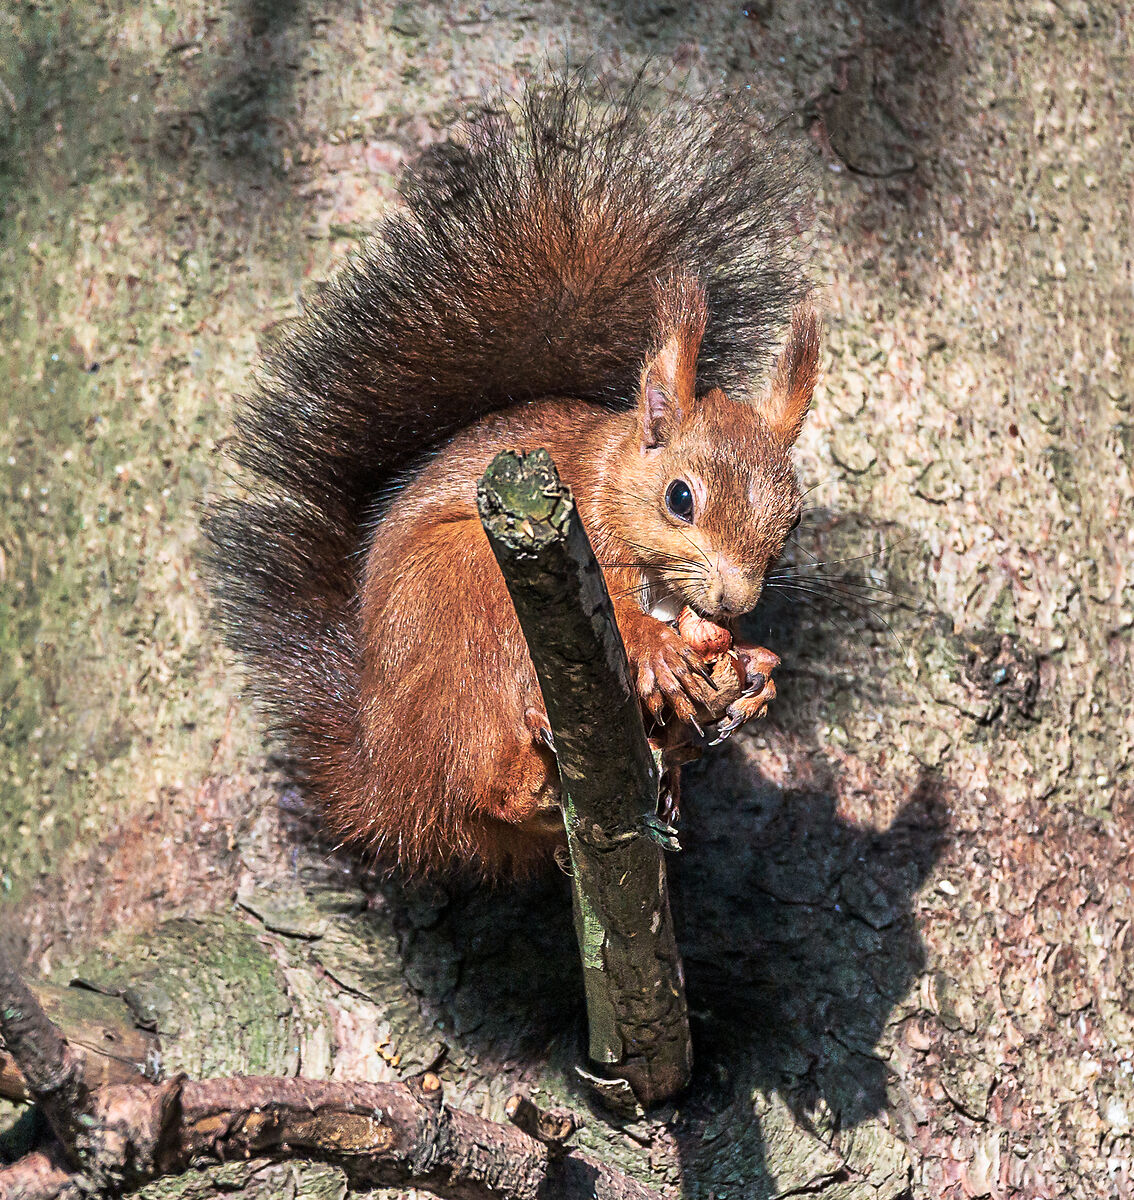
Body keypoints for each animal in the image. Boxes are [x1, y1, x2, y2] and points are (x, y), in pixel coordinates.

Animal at [205, 78, 819, 879]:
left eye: (795, 518)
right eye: (680, 498)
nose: (737, 599)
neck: (605, 478)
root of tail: (388, 787)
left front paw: (756, 671)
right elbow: (627, 624)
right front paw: (657, 650)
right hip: (469, 603)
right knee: (484, 779)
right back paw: (531, 768)